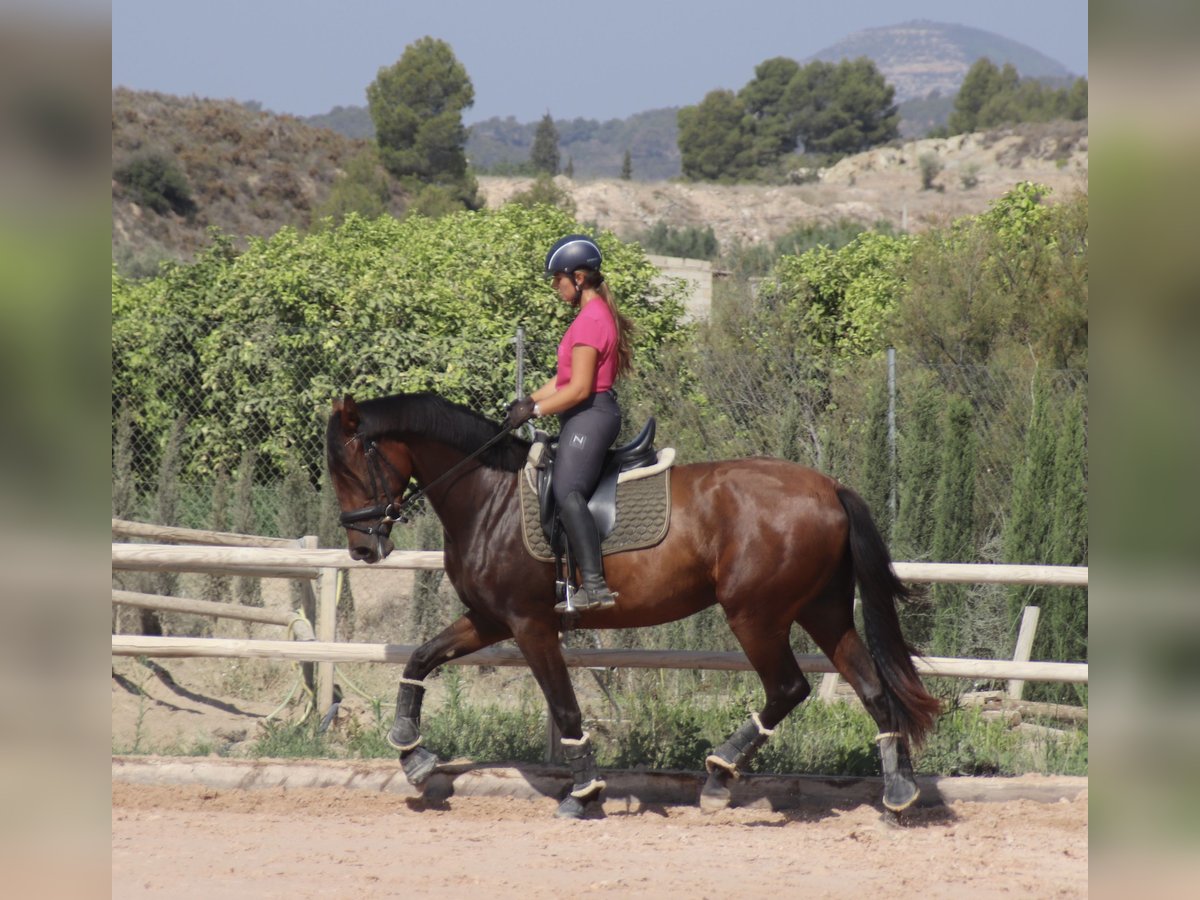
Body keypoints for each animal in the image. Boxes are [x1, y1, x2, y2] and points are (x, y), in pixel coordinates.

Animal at [326, 391, 936, 820]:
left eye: (347, 467)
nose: (362, 549)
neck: (489, 496)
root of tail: (829, 486)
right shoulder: (490, 619)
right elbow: (421, 657)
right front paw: (411, 752)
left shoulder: (529, 624)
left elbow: (565, 708)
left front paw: (583, 793)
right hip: (822, 611)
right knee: (872, 687)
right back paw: (899, 792)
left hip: (755, 614)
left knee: (788, 687)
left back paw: (719, 775)